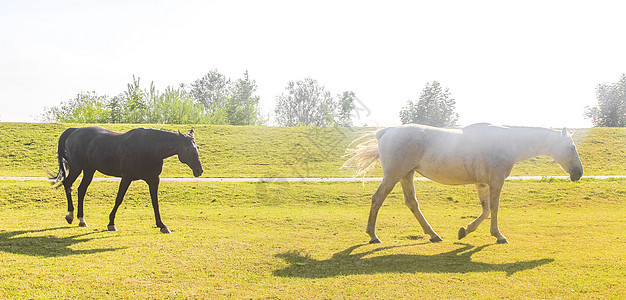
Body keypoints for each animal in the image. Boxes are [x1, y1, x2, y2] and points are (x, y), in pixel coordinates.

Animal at [51, 126, 202, 232]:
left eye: (197, 148)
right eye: (189, 149)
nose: (199, 170)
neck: (149, 147)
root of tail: (74, 131)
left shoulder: (154, 180)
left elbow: (155, 203)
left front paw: (162, 225)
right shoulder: (127, 177)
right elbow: (119, 199)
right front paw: (111, 223)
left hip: (89, 170)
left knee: (81, 190)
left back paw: (81, 219)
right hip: (77, 167)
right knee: (67, 184)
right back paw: (70, 215)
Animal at [342, 123, 580, 245]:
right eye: (572, 147)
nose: (579, 173)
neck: (505, 142)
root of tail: (386, 132)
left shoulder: (482, 184)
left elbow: (485, 210)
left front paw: (465, 230)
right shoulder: (496, 181)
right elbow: (494, 208)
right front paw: (498, 235)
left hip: (406, 175)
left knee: (412, 203)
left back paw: (433, 235)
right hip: (394, 175)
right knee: (378, 199)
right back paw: (373, 236)